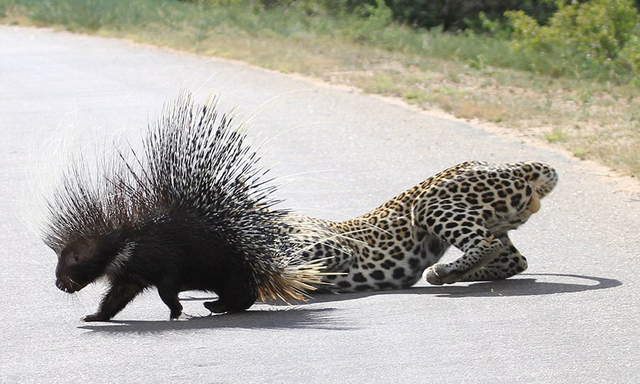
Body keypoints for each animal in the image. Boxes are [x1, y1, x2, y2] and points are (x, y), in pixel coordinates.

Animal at [288, 160, 556, 292]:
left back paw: (445, 272)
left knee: (487, 245)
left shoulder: (331, 245)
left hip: (428, 204)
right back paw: (455, 274)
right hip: (498, 221)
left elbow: (291, 256)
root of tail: (511, 166)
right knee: (514, 260)